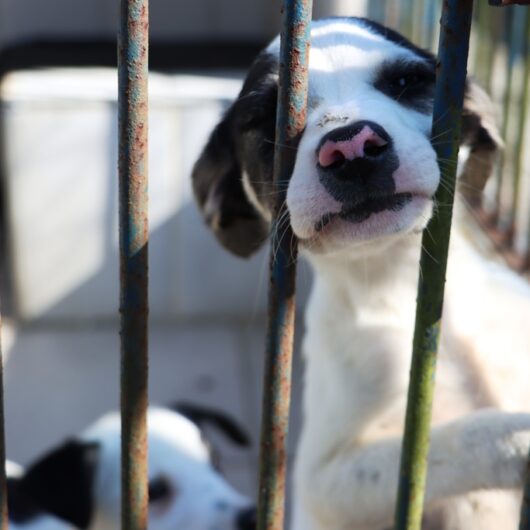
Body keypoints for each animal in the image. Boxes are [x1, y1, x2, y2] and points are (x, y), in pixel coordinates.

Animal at [192, 16, 528, 528]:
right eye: (269, 120)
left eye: (407, 82)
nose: (351, 149)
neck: (401, 284)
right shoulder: (323, 480)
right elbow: (442, 440)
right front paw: (517, 437)